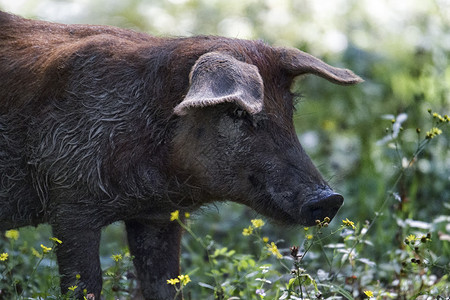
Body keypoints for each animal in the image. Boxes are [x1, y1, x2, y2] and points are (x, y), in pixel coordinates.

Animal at [0, 11, 362, 300]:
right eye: (236, 112)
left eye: (291, 110)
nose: (330, 198)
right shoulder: (69, 205)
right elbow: (83, 284)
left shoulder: (159, 217)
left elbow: (165, 286)